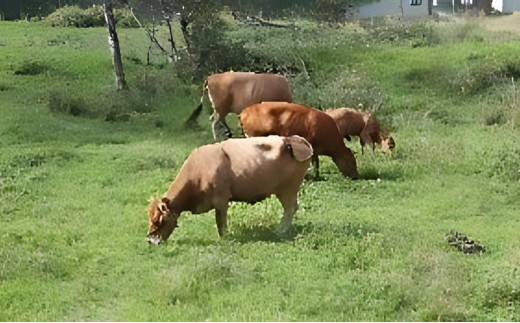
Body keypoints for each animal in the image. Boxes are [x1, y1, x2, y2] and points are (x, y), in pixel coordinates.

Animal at [145, 135, 312, 244]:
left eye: (159, 220)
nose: (149, 240)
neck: (199, 169)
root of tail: (292, 139)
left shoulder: (221, 200)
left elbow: (221, 222)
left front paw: (224, 238)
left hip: (287, 189)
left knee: (290, 208)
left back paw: (280, 230)